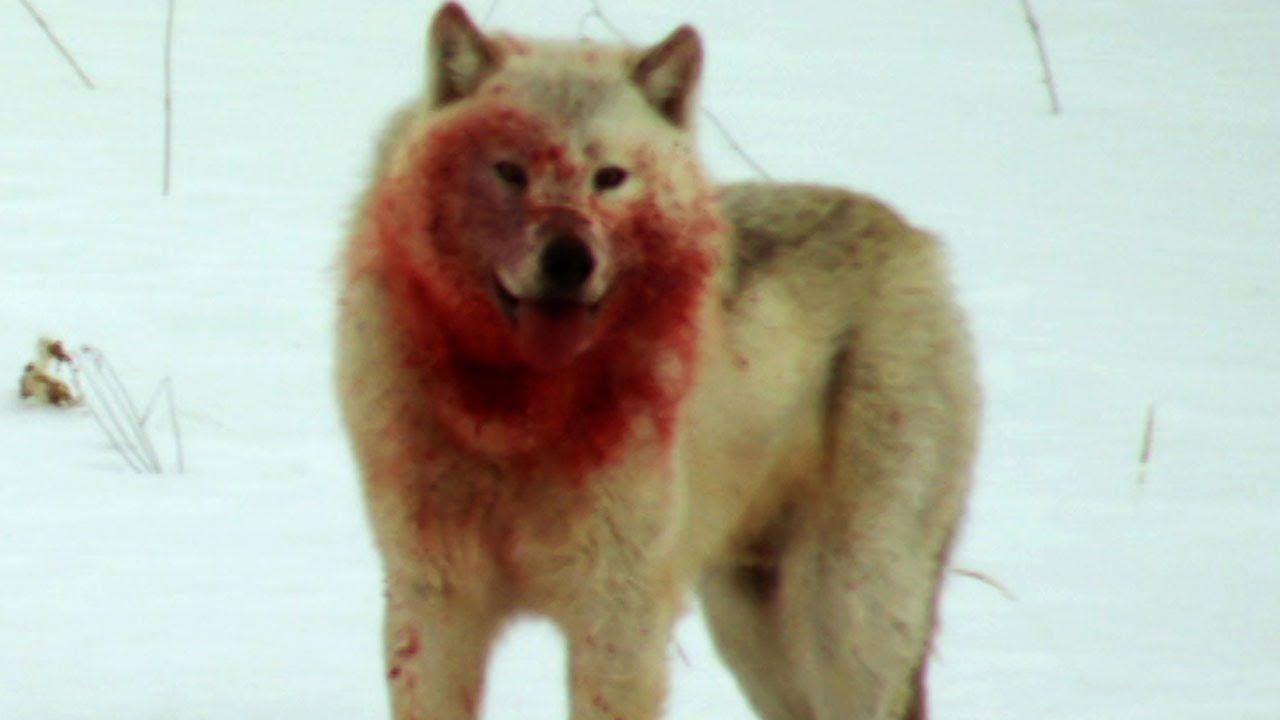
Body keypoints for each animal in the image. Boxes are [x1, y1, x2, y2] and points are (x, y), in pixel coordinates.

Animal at [336, 4, 979, 719]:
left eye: (610, 177)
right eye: (510, 171)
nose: (570, 260)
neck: (516, 416)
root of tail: (915, 240)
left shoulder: (617, 611)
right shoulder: (433, 602)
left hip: (845, 610)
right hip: (748, 622)